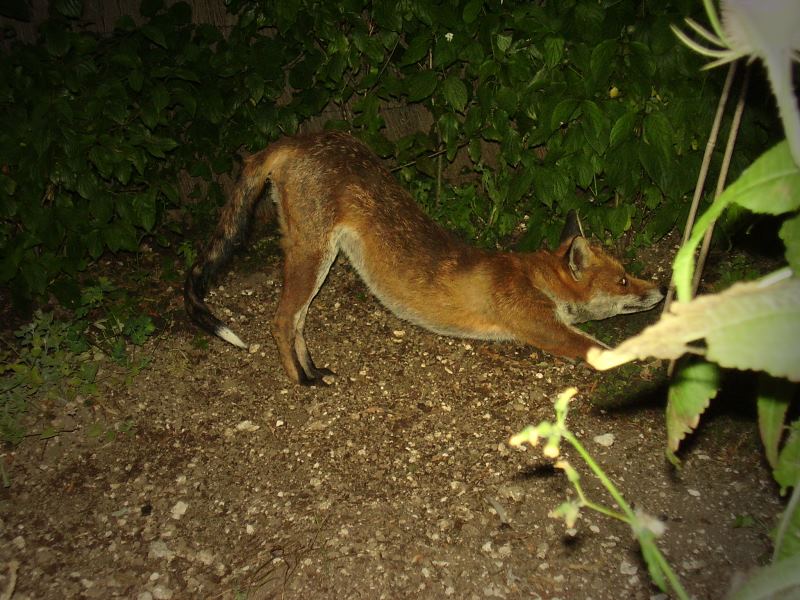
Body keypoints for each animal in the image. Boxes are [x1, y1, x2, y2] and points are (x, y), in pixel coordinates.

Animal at [184, 131, 664, 384]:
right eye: (623, 280)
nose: (661, 286)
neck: (533, 278)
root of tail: (299, 138)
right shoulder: (546, 331)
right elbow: (614, 350)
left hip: (320, 256)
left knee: (297, 321)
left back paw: (313, 371)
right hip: (312, 255)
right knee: (282, 320)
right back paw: (300, 381)